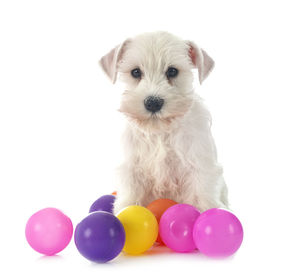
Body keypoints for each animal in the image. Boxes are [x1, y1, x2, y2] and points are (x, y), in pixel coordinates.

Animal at [99, 31, 229, 214]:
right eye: (136, 72)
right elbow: (130, 198)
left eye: (172, 71)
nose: (153, 103)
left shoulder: (200, 168)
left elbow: (202, 197)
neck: (160, 131)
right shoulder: (132, 171)